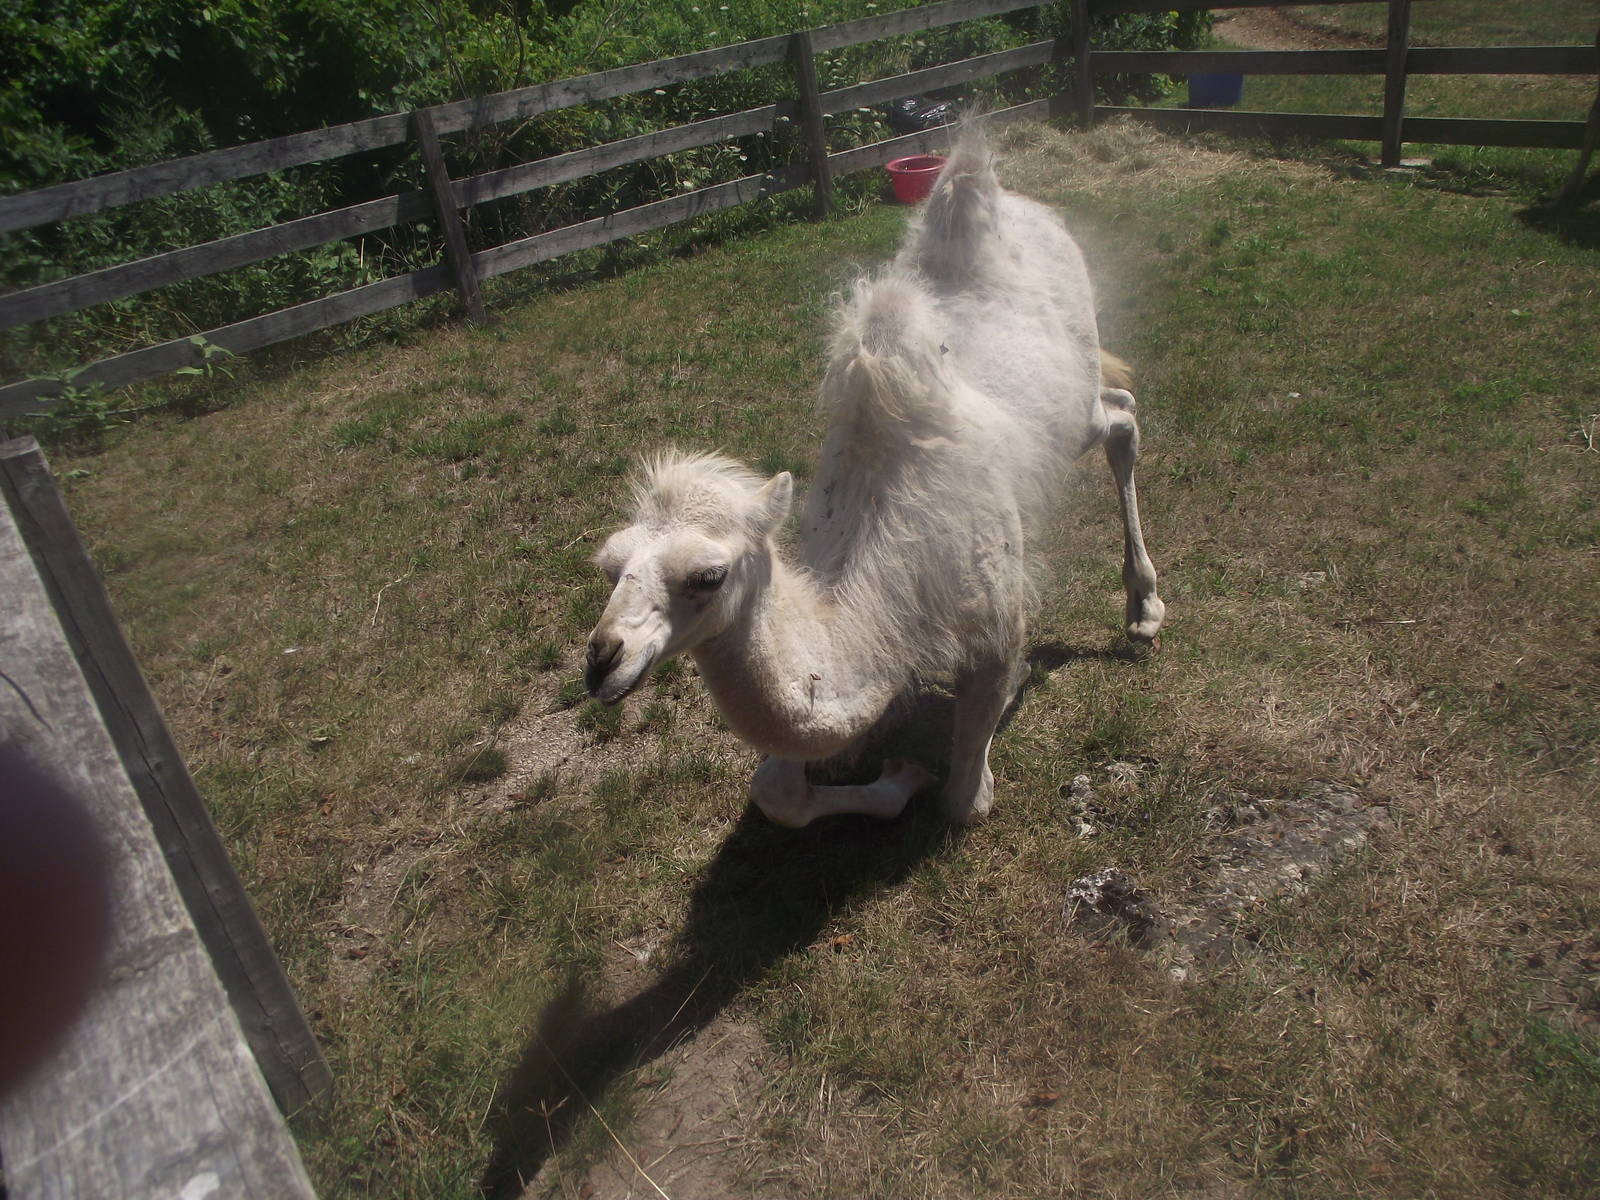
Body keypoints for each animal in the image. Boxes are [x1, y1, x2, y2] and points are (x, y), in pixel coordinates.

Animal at [584, 126, 1164, 827]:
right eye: (611, 566)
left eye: (708, 576)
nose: (601, 660)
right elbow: (777, 793)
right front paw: (897, 775)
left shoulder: (997, 629)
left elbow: (964, 802)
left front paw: (921, 767)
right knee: (1121, 410)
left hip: (1076, 402)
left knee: (1122, 419)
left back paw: (1144, 610)